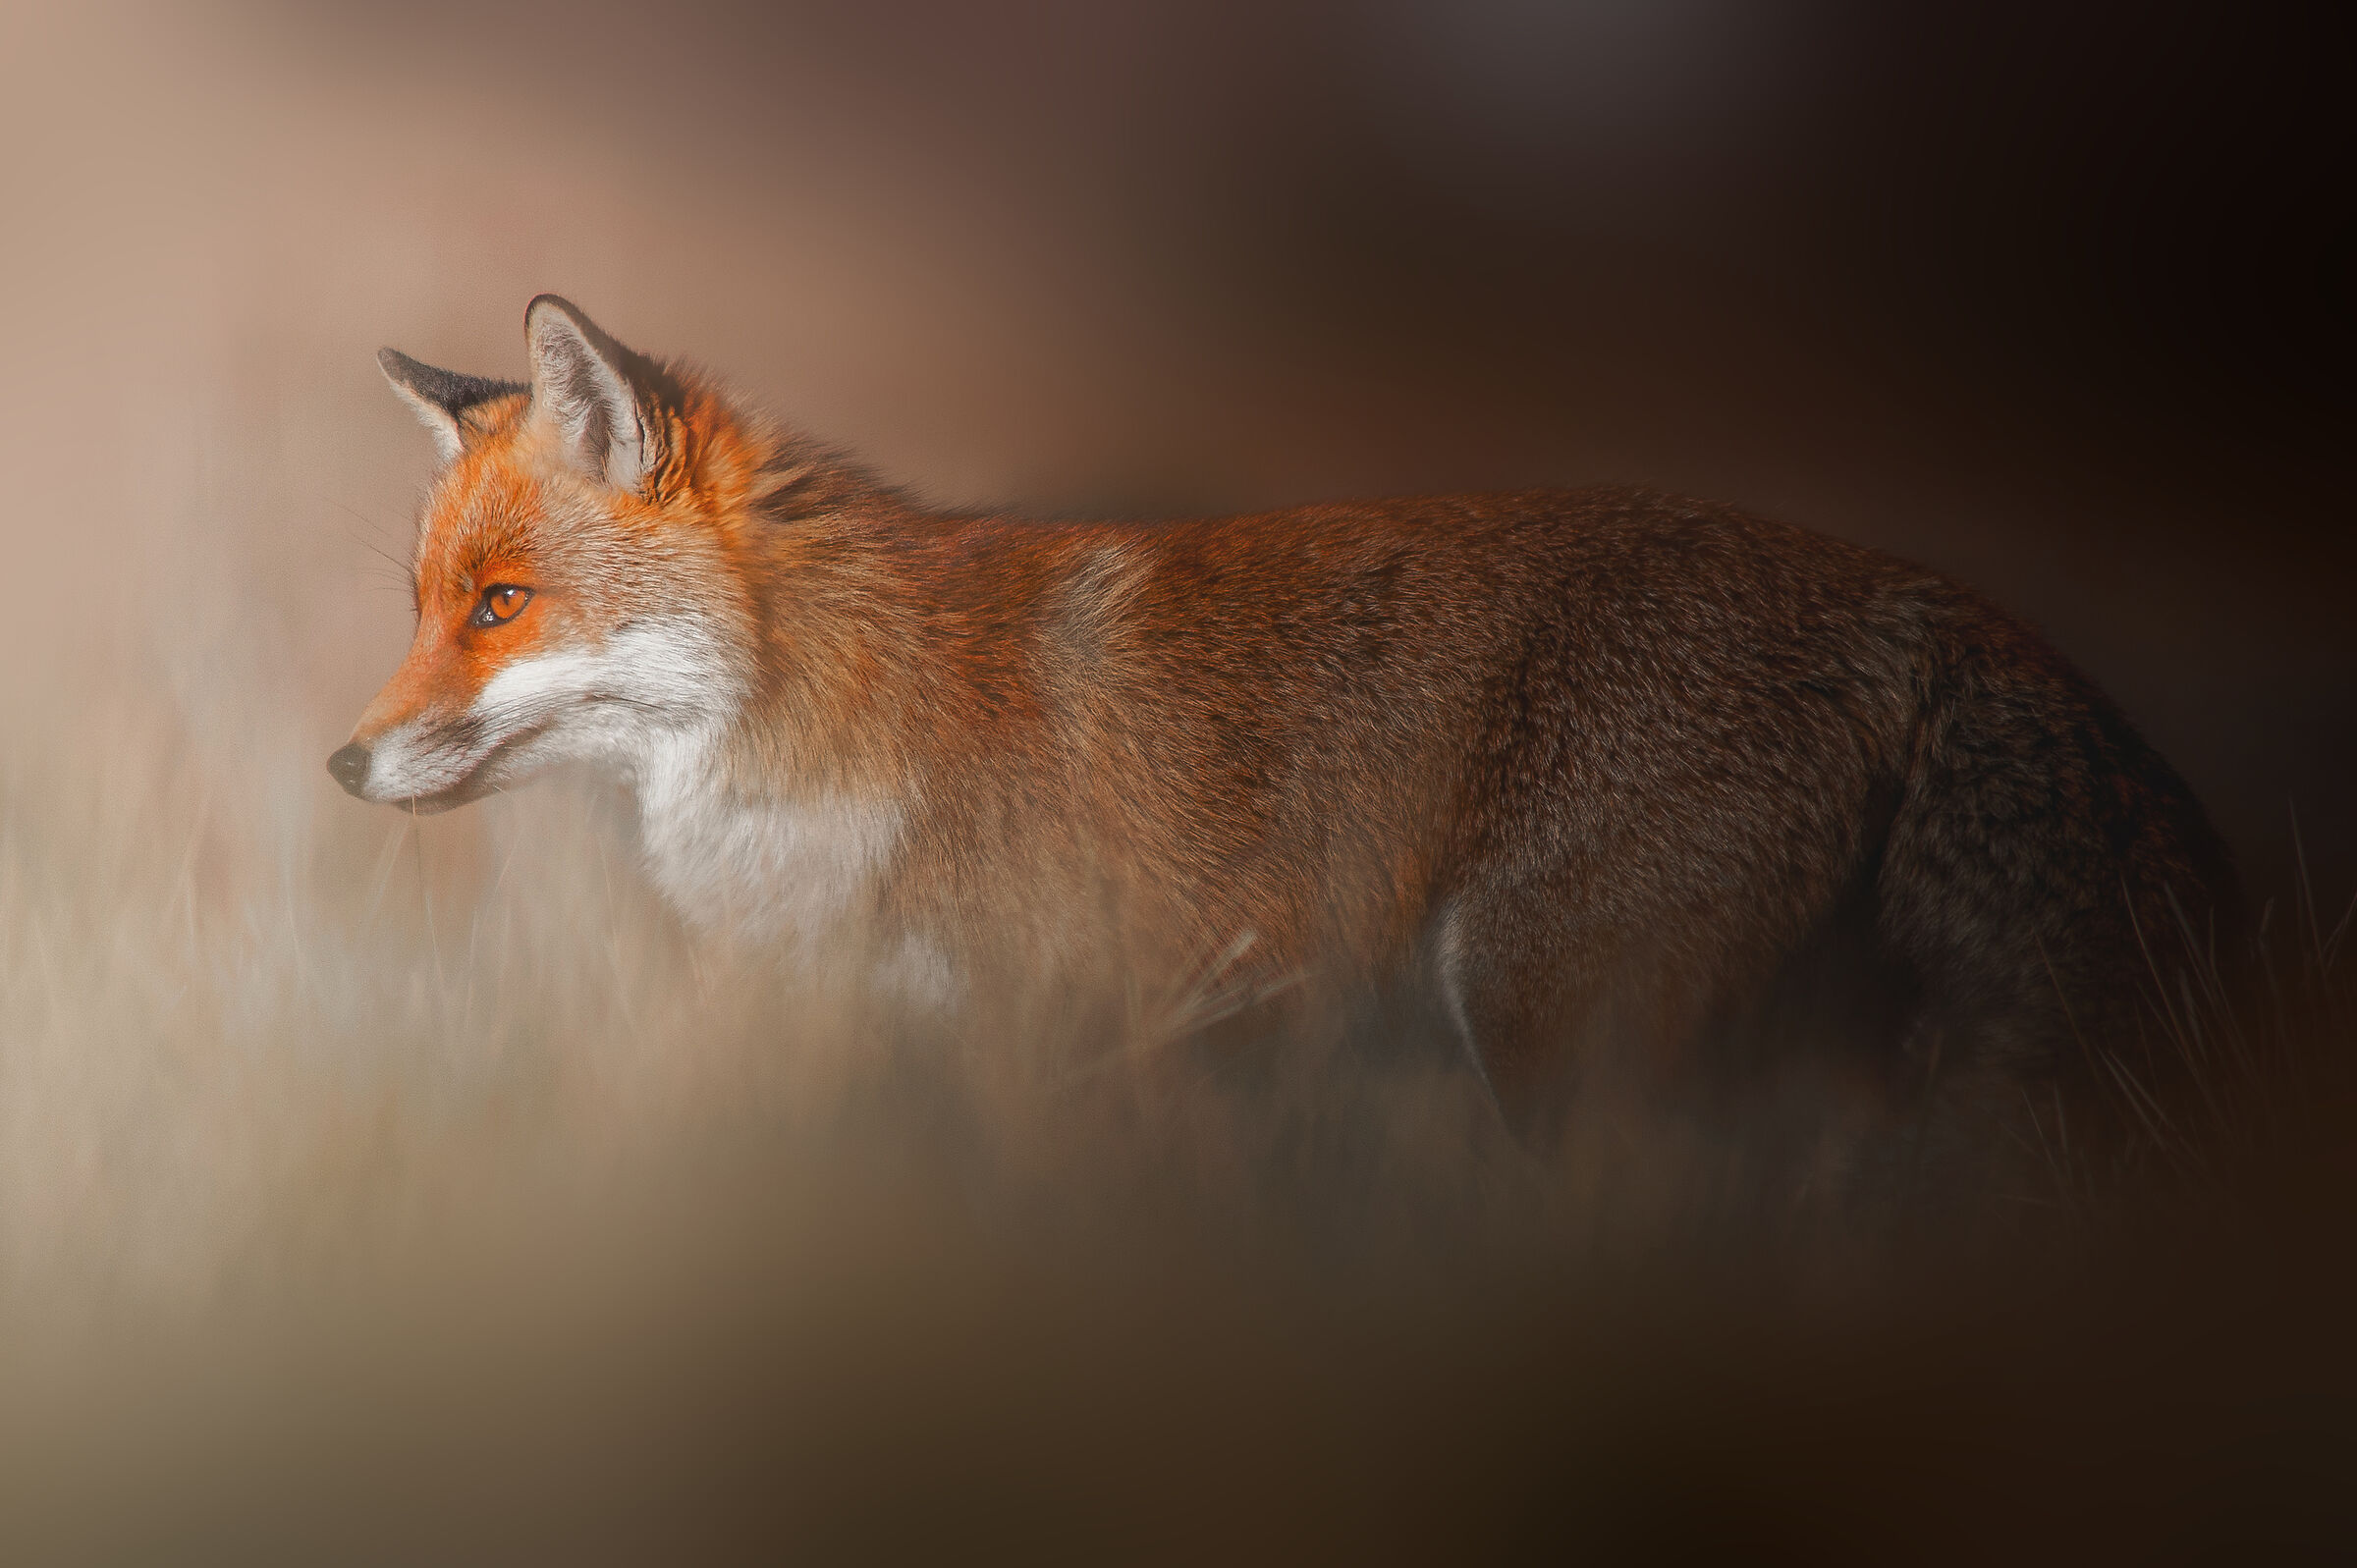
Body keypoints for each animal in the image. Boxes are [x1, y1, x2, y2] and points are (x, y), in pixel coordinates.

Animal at [333, 294, 2240, 1177]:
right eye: (425, 602)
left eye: (499, 605)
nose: (343, 767)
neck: (835, 713)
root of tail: (1918, 585)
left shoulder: (1063, 1031)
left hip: (1540, 1007)